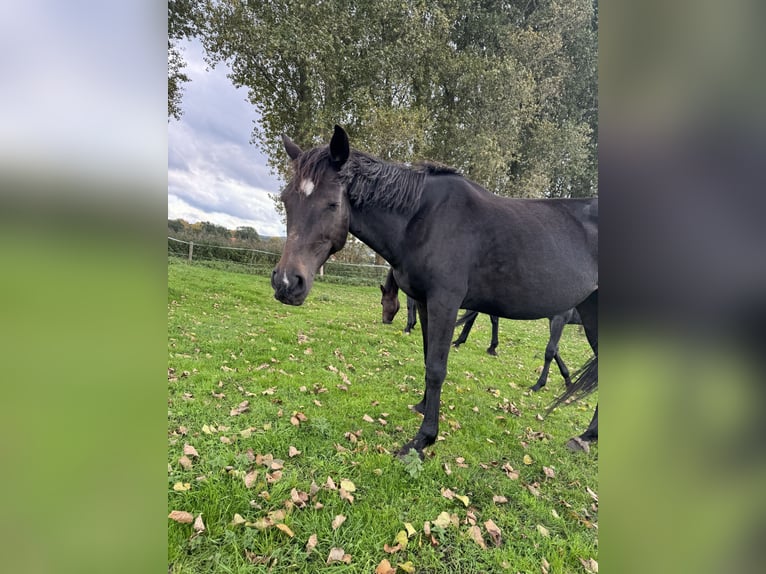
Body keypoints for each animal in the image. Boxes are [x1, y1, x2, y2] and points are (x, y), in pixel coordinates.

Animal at [272, 127, 600, 460]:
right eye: (286, 200)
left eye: (332, 204)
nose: (286, 283)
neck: (423, 219)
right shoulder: (425, 303)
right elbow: (427, 355)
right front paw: (422, 406)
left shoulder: (445, 303)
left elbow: (436, 368)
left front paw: (423, 439)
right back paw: (586, 436)